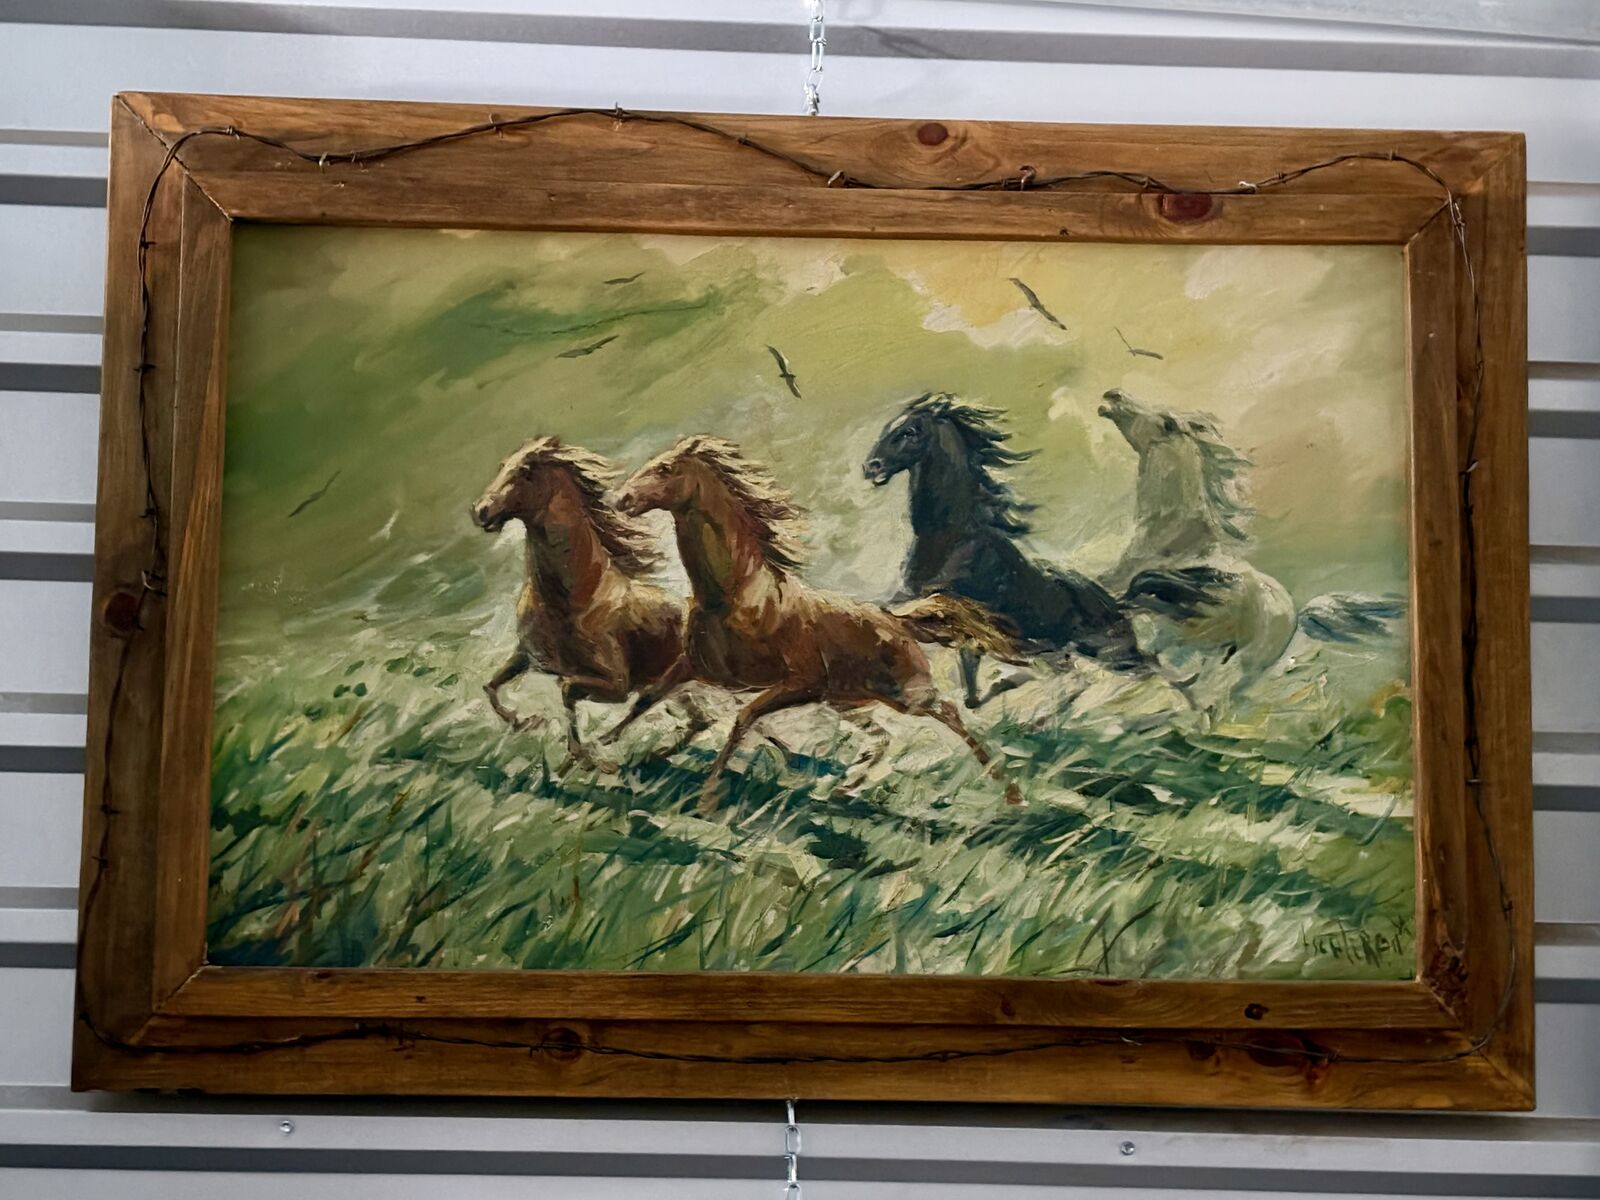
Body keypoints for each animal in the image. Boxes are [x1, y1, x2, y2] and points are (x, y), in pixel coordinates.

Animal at [471, 436, 697, 764]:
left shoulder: (617, 685)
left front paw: (584, 755)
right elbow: (490, 685)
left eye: (526, 470)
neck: (573, 601)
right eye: (502, 465)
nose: (481, 510)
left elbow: (566, 690)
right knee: (696, 718)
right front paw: (525, 722)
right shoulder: (528, 656)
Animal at [609, 435, 1025, 811]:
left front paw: (707, 799)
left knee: (950, 713)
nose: (622, 500)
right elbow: (645, 699)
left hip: (906, 695)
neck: (734, 597)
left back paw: (1012, 794)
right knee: (883, 738)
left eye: (665, 468)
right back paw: (842, 788)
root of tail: (899, 624)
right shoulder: (694, 667)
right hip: (848, 700)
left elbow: (741, 720)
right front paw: (602, 753)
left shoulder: (798, 684)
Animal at [862, 392, 1212, 709]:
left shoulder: (935, 601)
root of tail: (1115, 603)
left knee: (1149, 668)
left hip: (1109, 650)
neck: (953, 536)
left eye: (909, 432)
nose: (870, 466)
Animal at [1097, 387, 1404, 714]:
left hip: (1240, 663)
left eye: (1166, 421)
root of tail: (1295, 614)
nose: (1113, 395)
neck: (1175, 545)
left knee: (1212, 698)